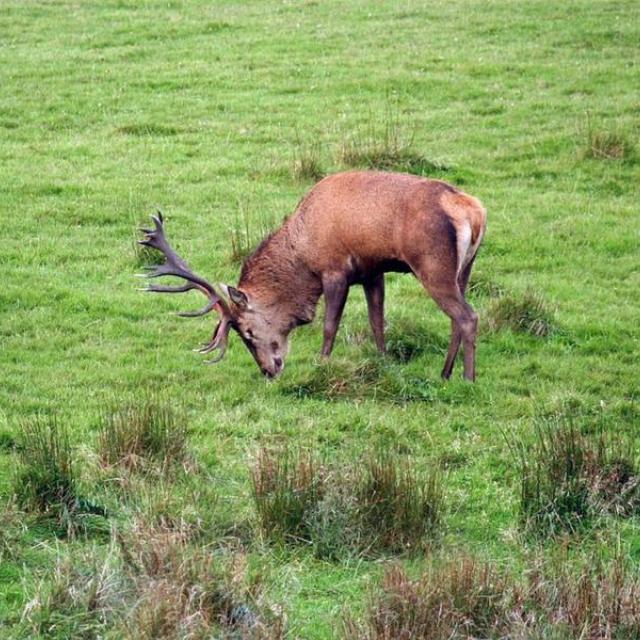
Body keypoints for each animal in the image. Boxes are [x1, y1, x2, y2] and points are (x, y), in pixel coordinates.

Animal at [139, 170, 487, 381]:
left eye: (247, 332)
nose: (269, 371)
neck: (303, 250)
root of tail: (474, 211)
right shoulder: (372, 271)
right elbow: (377, 321)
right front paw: (383, 360)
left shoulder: (333, 270)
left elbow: (330, 325)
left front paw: (322, 363)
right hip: (464, 269)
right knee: (457, 317)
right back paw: (444, 372)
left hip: (432, 266)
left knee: (468, 316)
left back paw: (467, 378)